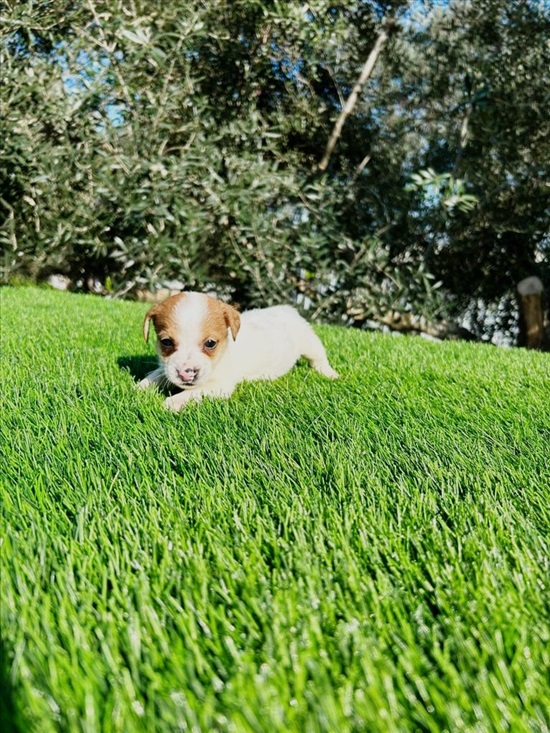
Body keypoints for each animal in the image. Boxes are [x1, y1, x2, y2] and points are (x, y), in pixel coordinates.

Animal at [140, 294, 338, 412]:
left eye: (210, 343)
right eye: (166, 342)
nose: (185, 373)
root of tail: (285, 309)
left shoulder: (219, 386)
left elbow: (193, 392)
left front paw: (173, 402)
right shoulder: (165, 369)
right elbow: (155, 375)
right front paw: (140, 388)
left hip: (309, 342)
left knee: (319, 358)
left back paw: (329, 373)